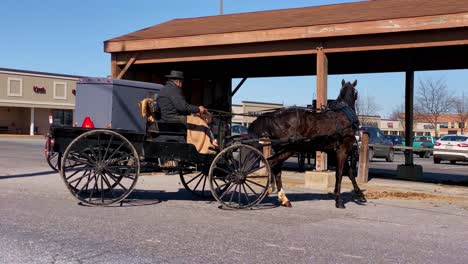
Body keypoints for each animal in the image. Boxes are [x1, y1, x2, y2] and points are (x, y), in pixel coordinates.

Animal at [249, 79, 366, 207]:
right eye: (356, 92)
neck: (343, 116)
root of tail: (272, 116)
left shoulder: (334, 151)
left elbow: (349, 173)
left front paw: (360, 195)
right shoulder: (343, 150)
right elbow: (339, 174)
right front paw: (339, 201)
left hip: (282, 149)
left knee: (277, 168)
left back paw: (283, 198)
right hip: (290, 148)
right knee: (271, 163)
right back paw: (270, 191)